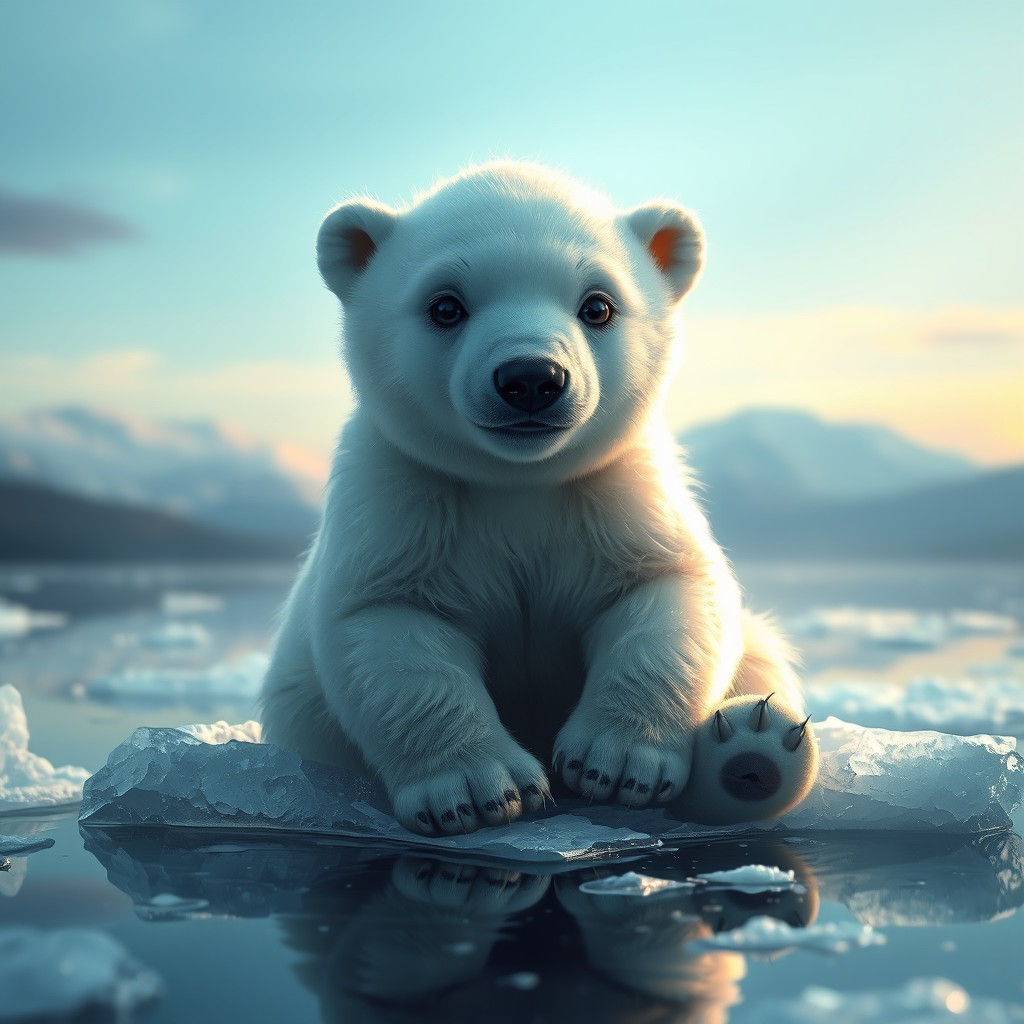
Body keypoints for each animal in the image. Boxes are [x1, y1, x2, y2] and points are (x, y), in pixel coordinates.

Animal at [259, 161, 818, 836]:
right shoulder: (404, 499)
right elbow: (390, 627)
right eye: (445, 305)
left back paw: (750, 746)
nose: (532, 377)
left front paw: (618, 764)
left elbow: (668, 592)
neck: (518, 483)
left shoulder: (618, 494)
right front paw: (480, 792)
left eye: (598, 305)